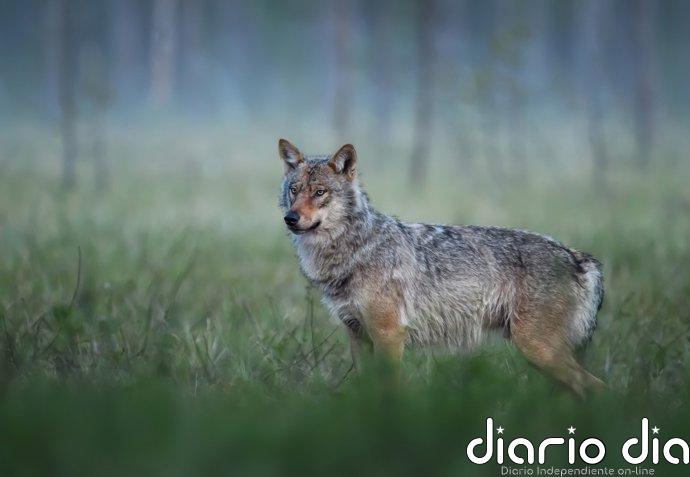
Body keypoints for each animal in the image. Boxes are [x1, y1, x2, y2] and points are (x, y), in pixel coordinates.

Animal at [277, 138, 605, 396]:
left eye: (319, 192)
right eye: (295, 190)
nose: (290, 218)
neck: (355, 249)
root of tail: (579, 257)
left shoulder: (389, 334)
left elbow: (389, 390)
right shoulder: (358, 336)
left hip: (538, 350)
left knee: (597, 386)